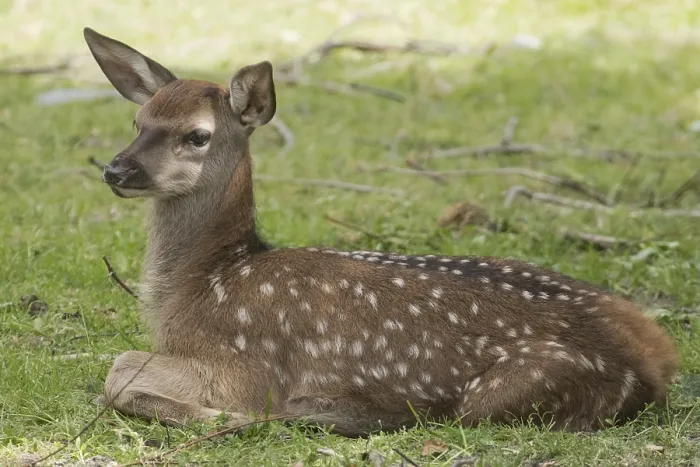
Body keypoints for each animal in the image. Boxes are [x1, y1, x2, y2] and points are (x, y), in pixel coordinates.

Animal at [83, 27, 679, 437]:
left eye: (198, 135)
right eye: (138, 122)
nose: (115, 170)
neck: (202, 283)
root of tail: (658, 359)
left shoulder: (243, 369)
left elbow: (119, 371)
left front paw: (224, 419)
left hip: (507, 392)